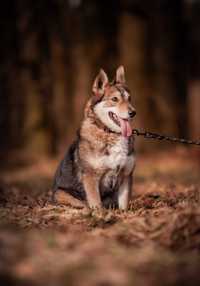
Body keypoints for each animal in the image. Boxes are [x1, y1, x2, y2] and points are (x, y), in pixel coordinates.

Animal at [52, 66, 136, 209]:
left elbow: (124, 205)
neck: (110, 133)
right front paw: (99, 213)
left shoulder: (126, 176)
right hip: (60, 193)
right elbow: (96, 204)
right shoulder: (91, 177)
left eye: (129, 98)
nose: (133, 113)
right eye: (114, 99)